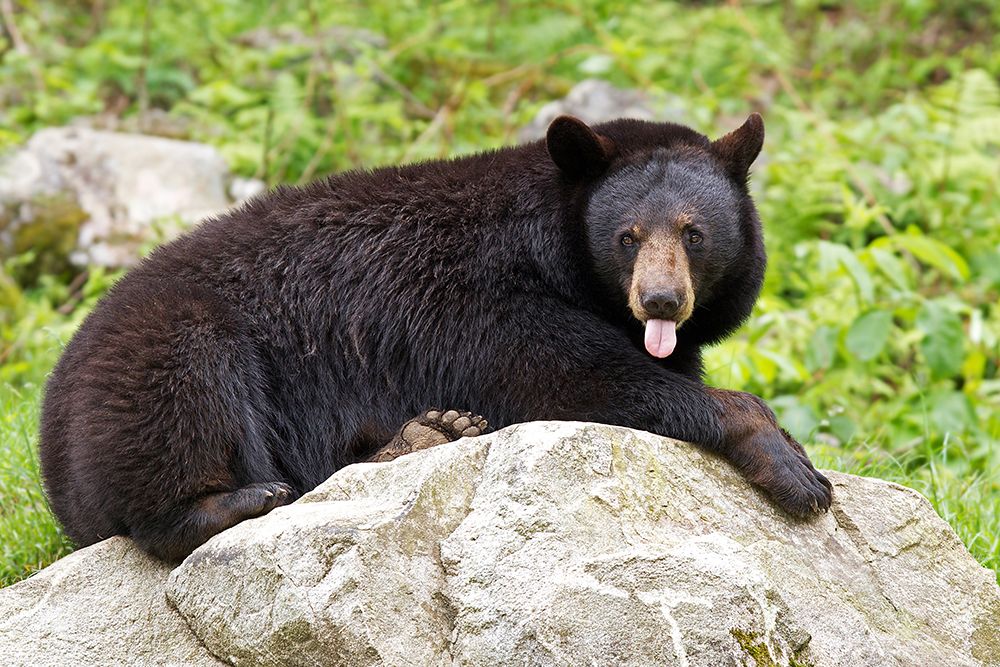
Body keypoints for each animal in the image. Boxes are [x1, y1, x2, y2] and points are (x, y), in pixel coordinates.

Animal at [39, 113, 832, 563]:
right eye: (627, 235)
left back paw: (424, 434)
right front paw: (793, 465)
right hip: (160, 347)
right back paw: (246, 498)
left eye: (694, 233)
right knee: (181, 407)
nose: (661, 298)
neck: (552, 244)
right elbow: (572, 379)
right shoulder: (481, 300)